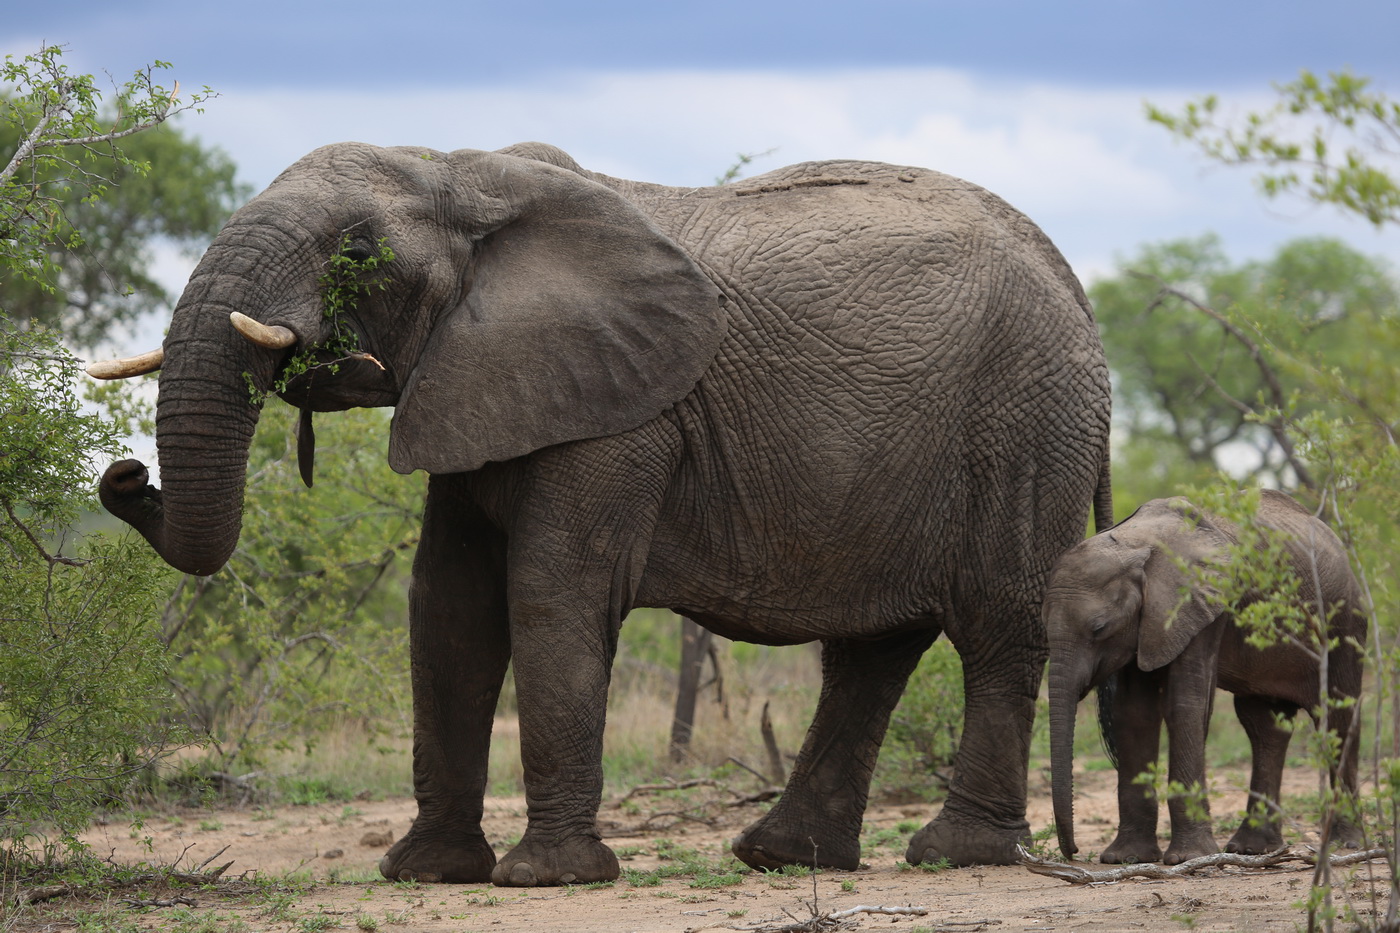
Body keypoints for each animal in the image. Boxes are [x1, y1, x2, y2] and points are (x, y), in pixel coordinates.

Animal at [93, 141, 1108, 885]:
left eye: (354, 253)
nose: (125, 475)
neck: (460, 172)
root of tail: (1074, 284)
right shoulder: (478, 382)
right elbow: (449, 606)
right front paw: (426, 872)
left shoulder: (624, 412)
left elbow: (550, 592)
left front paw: (547, 877)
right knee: (874, 649)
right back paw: (783, 858)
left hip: (1024, 424)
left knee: (995, 629)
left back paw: (955, 854)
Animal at [1047, 490, 1360, 862]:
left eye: (1098, 628)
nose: (1074, 851)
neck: (1135, 544)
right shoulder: (1144, 624)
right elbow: (1134, 714)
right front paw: (1127, 858)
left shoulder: (1203, 606)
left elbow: (1185, 706)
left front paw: (1188, 858)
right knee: (1263, 725)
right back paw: (1252, 849)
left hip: (1344, 620)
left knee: (1337, 718)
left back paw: (1345, 843)